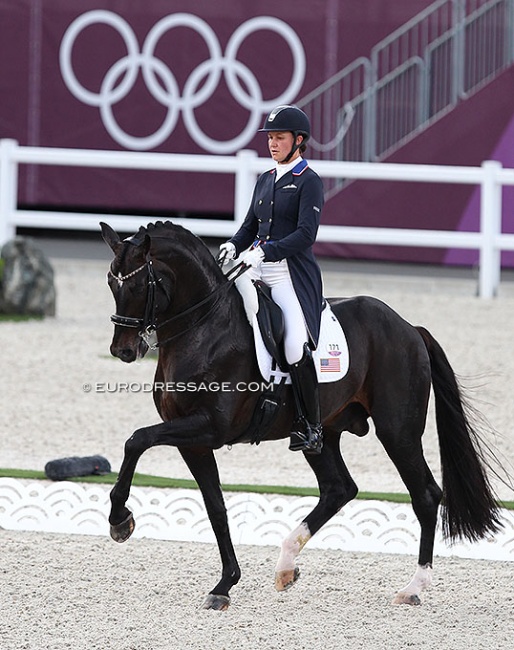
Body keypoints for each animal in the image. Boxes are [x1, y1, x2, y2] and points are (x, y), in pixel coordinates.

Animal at [100, 220, 500, 612]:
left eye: (138, 283)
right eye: (110, 281)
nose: (123, 350)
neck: (204, 327)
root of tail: (409, 328)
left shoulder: (209, 429)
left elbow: (137, 440)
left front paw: (120, 521)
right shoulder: (194, 442)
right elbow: (216, 507)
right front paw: (224, 585)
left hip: (397, 431)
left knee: (426, 496)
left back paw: (413, 588)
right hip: (322, 435)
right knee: (339, 489)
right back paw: (286, 566)